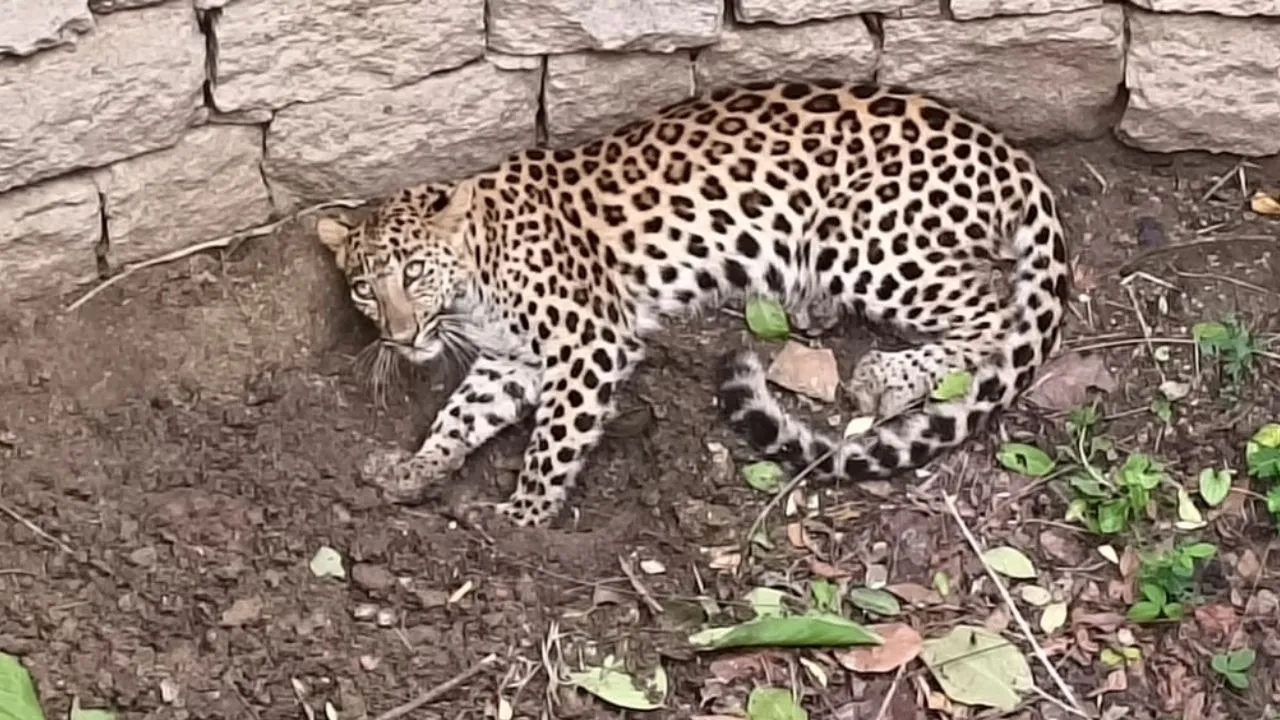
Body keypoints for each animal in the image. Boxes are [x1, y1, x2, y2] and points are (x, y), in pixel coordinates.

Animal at [314, 79, 1070, 527]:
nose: (401, 336)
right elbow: (460, 415)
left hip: (865, 239)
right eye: (363, 287)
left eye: (414, 272)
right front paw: (415, 469)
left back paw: (891, 373)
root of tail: (1008, 151)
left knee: (994, 312)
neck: (476, 279)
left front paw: (523, 519)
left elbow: (554, 439)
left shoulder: (589, 342)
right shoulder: (512, 361)